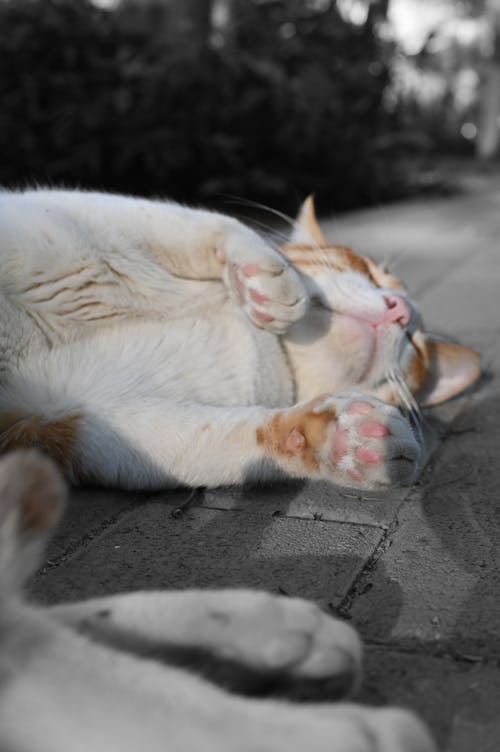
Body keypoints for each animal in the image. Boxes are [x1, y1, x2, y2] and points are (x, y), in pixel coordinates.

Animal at [0, 191, 478, 490]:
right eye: (372, 273)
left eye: (416, 346)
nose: (400, 310)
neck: (266, 344)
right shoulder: (77, 214)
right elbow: (203, 221)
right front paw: (264, 280)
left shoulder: (65, 413)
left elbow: (216, 439)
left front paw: (346, 440)